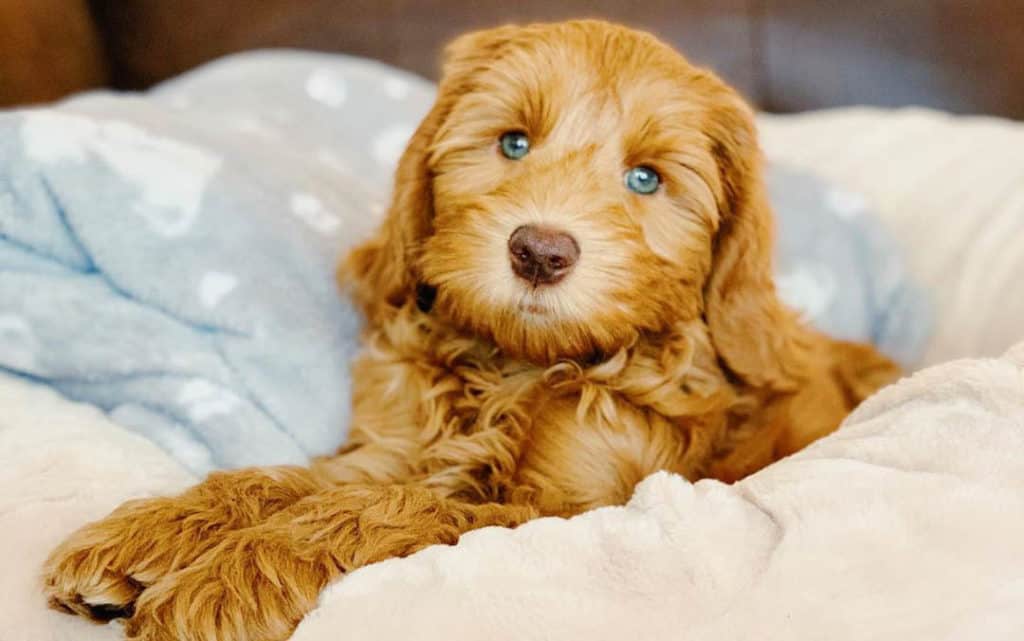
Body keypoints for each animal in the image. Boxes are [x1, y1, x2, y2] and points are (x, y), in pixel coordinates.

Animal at [44, 19, 901, 638]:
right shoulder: (392, 446)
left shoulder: (578, 506)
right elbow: (293, 479)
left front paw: (231, 574)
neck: (517, 365)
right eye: (513, 142)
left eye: (646, 179)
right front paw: (155, 529)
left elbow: (394, 508)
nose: (541, 251)